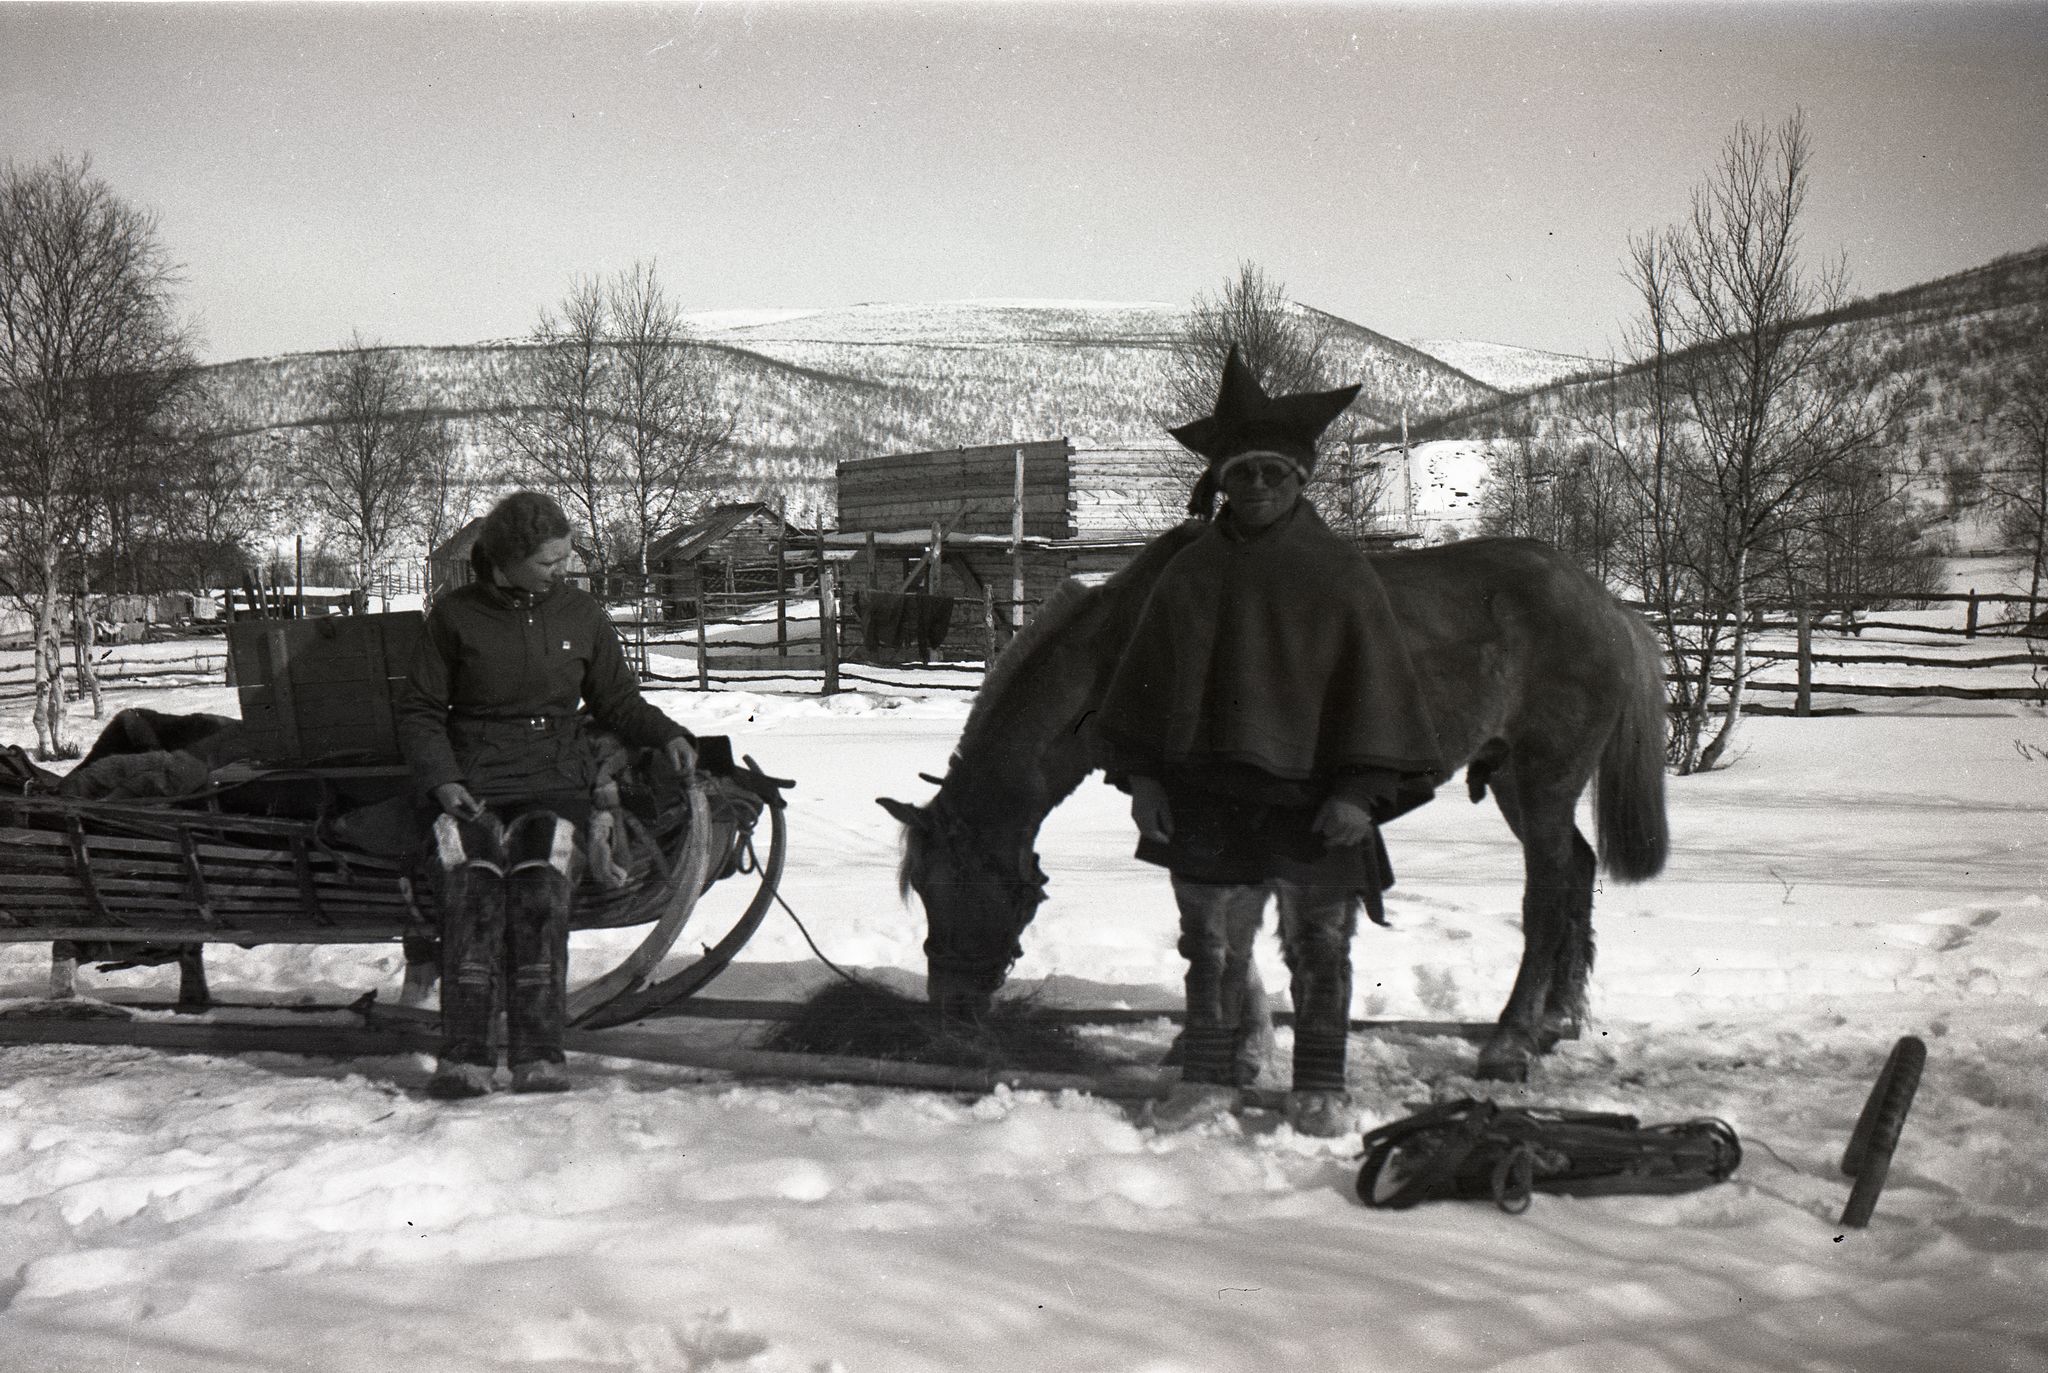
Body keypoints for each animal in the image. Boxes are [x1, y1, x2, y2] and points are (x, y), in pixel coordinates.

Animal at [872, 528, 1671, 1090]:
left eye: (950, 886)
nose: (949, 1010)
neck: (1123, 653)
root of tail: (1606, 604)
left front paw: (1239, 1047)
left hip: (1543, 777)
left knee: (1545, 895)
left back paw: (1509, 1042)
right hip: (1515, 779)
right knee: (1577, 870)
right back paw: (1557, 1020)